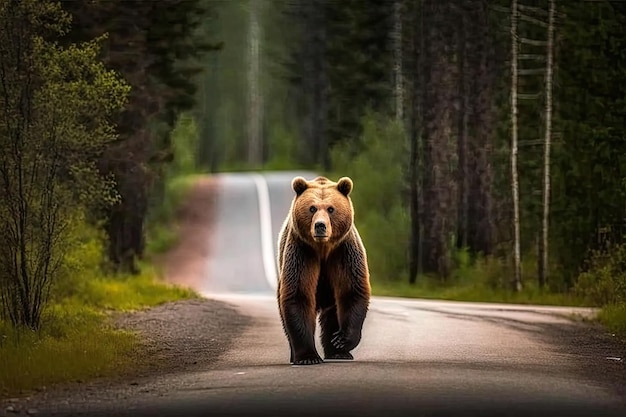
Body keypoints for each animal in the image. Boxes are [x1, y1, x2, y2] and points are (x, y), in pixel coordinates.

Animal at [276, 176, 368, 364]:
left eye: (331, 209)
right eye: (312, 208)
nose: (320, 226)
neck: (323, 248)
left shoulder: (344, 251)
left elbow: (352, 291)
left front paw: (342, 340)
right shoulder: (302, 252)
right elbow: (299, 294)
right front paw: (308, 357)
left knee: (333, 312)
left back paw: (339, 352)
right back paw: (295, 355)